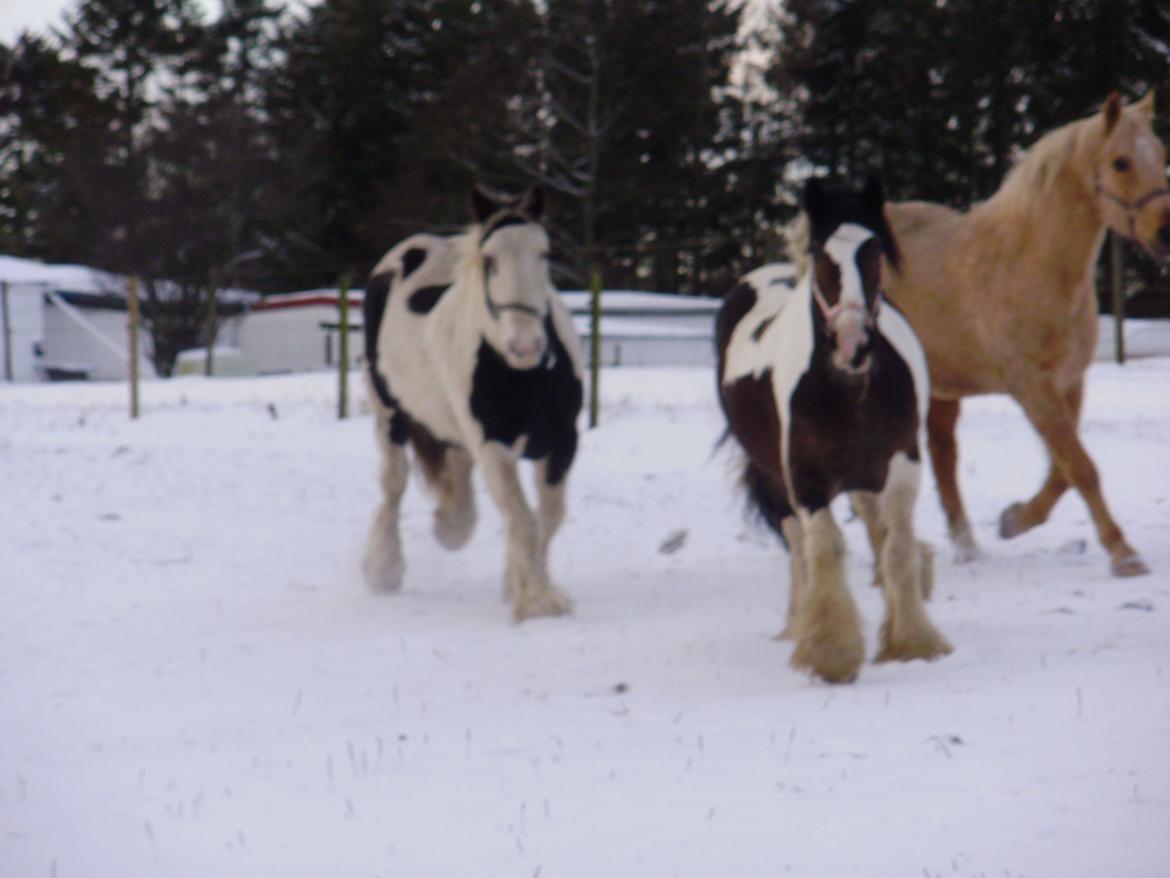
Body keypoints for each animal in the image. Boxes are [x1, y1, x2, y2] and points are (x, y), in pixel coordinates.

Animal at [360, 189, 585, 622]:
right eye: (490, 260)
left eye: (543, 253)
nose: (525, 346)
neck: (523, 375)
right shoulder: (492, 443)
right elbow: (522, 517)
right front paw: (536, 600)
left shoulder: (563, 439)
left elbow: (548, 516)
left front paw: (520, 585)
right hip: (389, 414)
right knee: (393, 484)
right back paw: (384, 568)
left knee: (457, 471)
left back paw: (451, 524)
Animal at [716, 180, 954, 688]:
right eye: (822, 254)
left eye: (875, 249)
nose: (853, 343)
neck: (848, 388)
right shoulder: (804, 479)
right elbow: (825, 548)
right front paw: (831, 652)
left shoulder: (902, 465)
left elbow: (897, 548)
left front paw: (913, 640)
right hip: (776, 479)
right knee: (799, 549)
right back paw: (796, 624)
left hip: (864, 476)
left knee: (874, 530)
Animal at [884, 91, 1170, 578]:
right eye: (1120, 162)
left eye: (1162, 155)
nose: (1168, 232)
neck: (1030, 262)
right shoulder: (1031, 387)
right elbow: (1081, 467)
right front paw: (1124, 554)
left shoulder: (1069, 383)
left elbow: (1062, 470)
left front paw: (1015, 519)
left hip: (942, 388)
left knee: (944, 455)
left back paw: (966, 545)